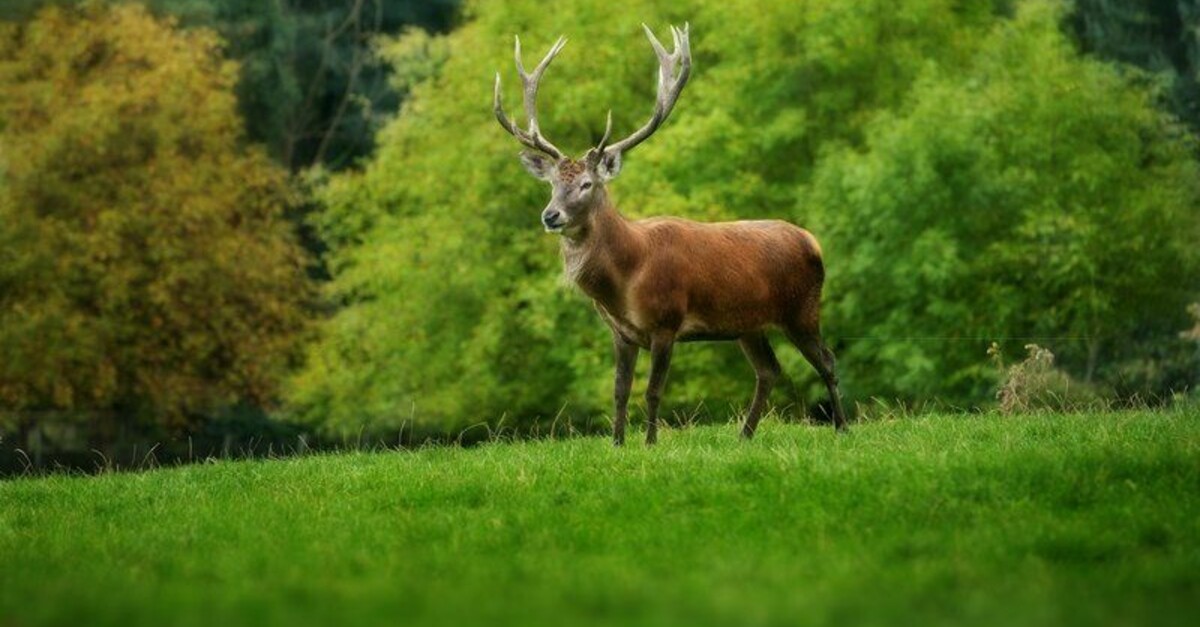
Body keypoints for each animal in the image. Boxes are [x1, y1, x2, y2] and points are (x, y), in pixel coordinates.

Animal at [492, 24, 849, 444]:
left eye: (585, 184)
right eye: (551, 184)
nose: (550, 216)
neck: (626, 280)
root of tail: (812, 240)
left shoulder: (666, 321)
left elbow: (653, 390)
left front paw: (649, 444)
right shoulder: (621, 333)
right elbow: (619, 391)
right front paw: (617, 444)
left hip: (802, 308)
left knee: (827, 360)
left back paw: (843, 426)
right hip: (749, 323)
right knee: (769, 370)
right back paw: (744, 436)